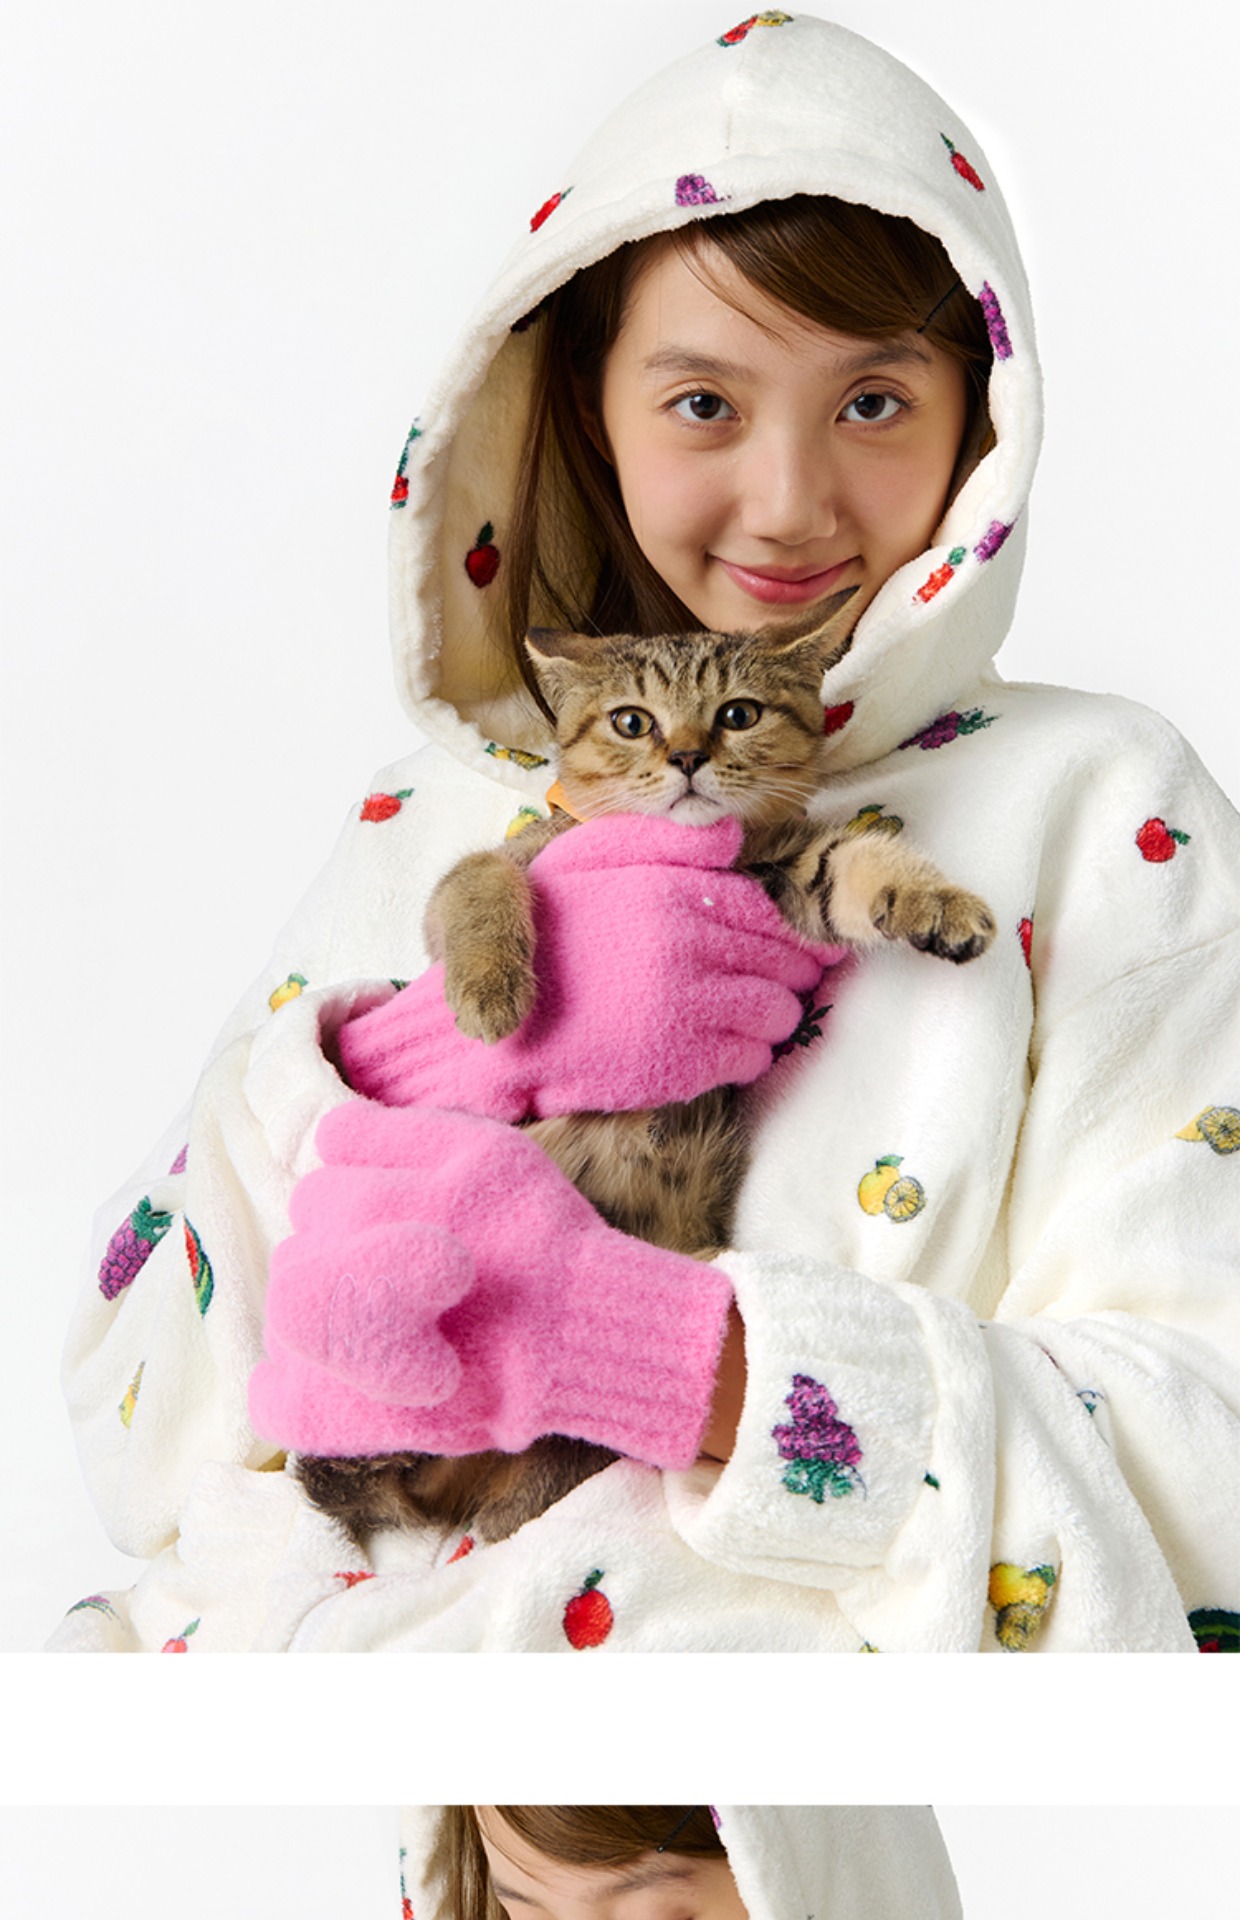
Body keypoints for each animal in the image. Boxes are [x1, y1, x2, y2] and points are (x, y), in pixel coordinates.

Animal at [297, 589, 996, 1545]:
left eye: (737, 713)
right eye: (633, 721)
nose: (688, 756)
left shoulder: (797, 872)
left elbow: (861, 858)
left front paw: (940, 902)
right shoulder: (508, 865)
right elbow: (478, 882)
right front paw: (490, 991)